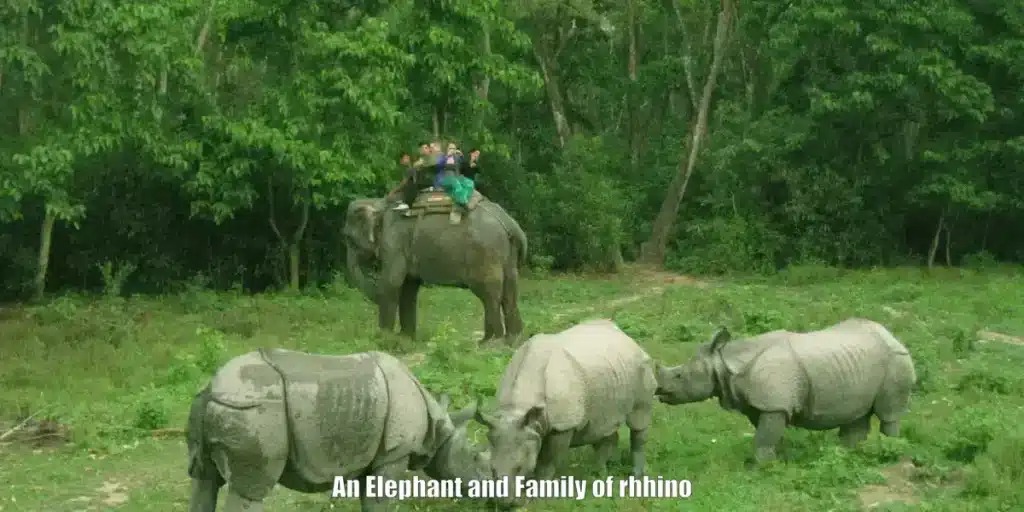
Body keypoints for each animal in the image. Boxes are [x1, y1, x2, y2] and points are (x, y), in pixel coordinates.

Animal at [343, 191, 528, 345]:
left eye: (348, 238)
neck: (378, 202)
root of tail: (511, 224)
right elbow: (409, 288)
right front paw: (406, 339)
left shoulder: (393, 242)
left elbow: (391, 283)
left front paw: (383, 339)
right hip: (507, 254)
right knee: (510, 292)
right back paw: (513, 340)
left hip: (484, 254)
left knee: (490, 294)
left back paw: (489, 343)